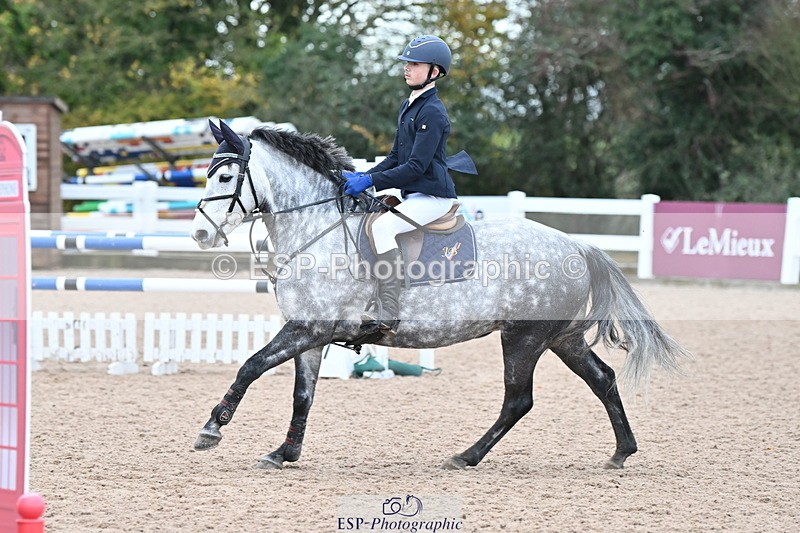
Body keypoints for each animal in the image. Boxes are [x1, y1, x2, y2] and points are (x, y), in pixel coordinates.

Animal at [190, 119, 689, 470]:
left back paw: (465, 456)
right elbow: (302, 394)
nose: (200, 234)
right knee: (602, 379)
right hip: (561, 338)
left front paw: (212, 428)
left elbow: (251, 365)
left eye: (226, 177)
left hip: (524, 337)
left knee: (518, 399)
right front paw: (284, 453)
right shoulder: (311, 333)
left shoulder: (309, 328)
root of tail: (576, 245)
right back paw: (621, 452)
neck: (317, 229)